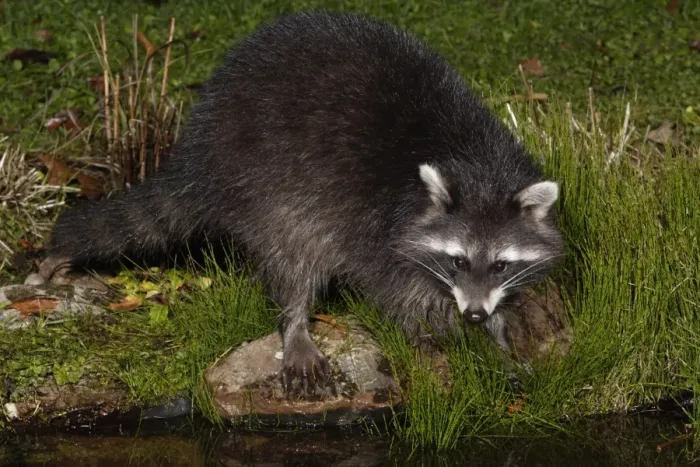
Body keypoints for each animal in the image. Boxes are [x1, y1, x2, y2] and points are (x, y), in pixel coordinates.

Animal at [42, 11, 564, 392]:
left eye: (500, 264)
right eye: (456, 260)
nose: (474, 313)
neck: (477, 162)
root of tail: (199, 146)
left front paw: (498, 335)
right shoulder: (379, 228)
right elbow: (400, 295)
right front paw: (452, 339)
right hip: (267, 182)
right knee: (292, 251)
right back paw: (294, 322)